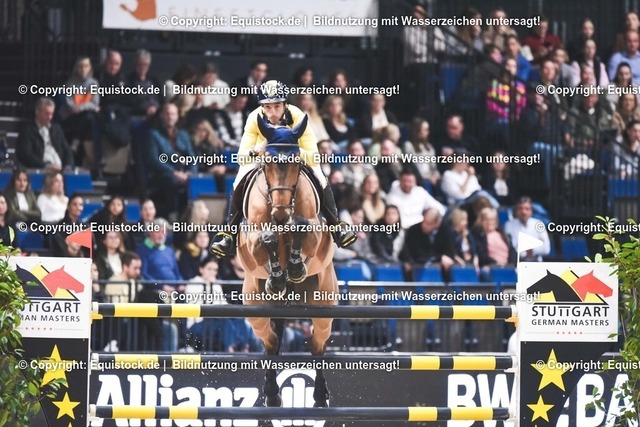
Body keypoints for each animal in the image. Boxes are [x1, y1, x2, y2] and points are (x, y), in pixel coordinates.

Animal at [236, 113, 338, 408]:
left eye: (295, 163)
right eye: (268, 163)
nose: (280, 213)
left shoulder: (314, 233)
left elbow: (301, 226)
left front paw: (294, 266)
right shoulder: (251, 241)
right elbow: (267, 237)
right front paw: (278, 276)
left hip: (324, 302)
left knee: (317, 345)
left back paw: (319, 397)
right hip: (255, 307)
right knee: (270, 343)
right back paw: (272, 395)